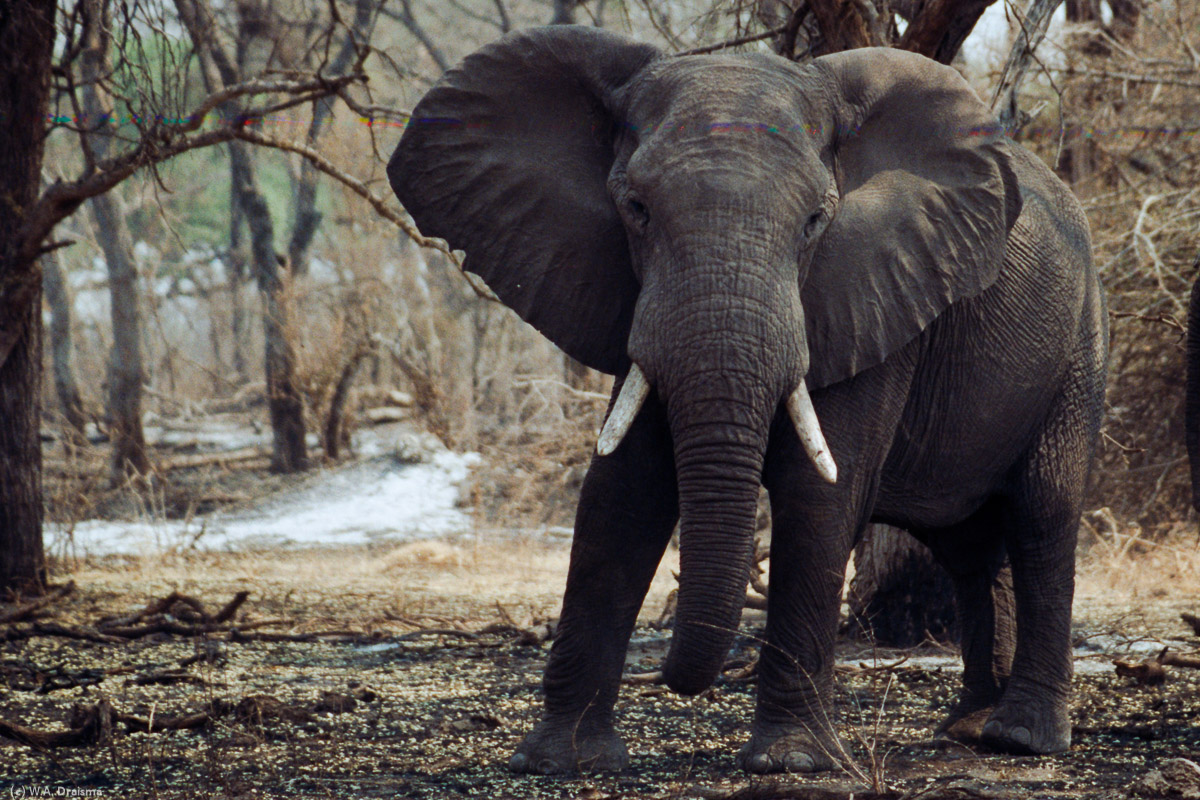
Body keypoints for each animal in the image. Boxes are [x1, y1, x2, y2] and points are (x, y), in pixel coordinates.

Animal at [388, 26, 1108, 777]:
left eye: (816, 220)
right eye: (635, 210)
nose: (674, 679)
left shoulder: (876, 288)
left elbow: (821, 494)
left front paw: (790, 762)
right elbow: (624, 492)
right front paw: (562, 761)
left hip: (1078, 343)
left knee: (1042, 514)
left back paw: (1018, 739)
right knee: (969, 544)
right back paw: (968, 728)